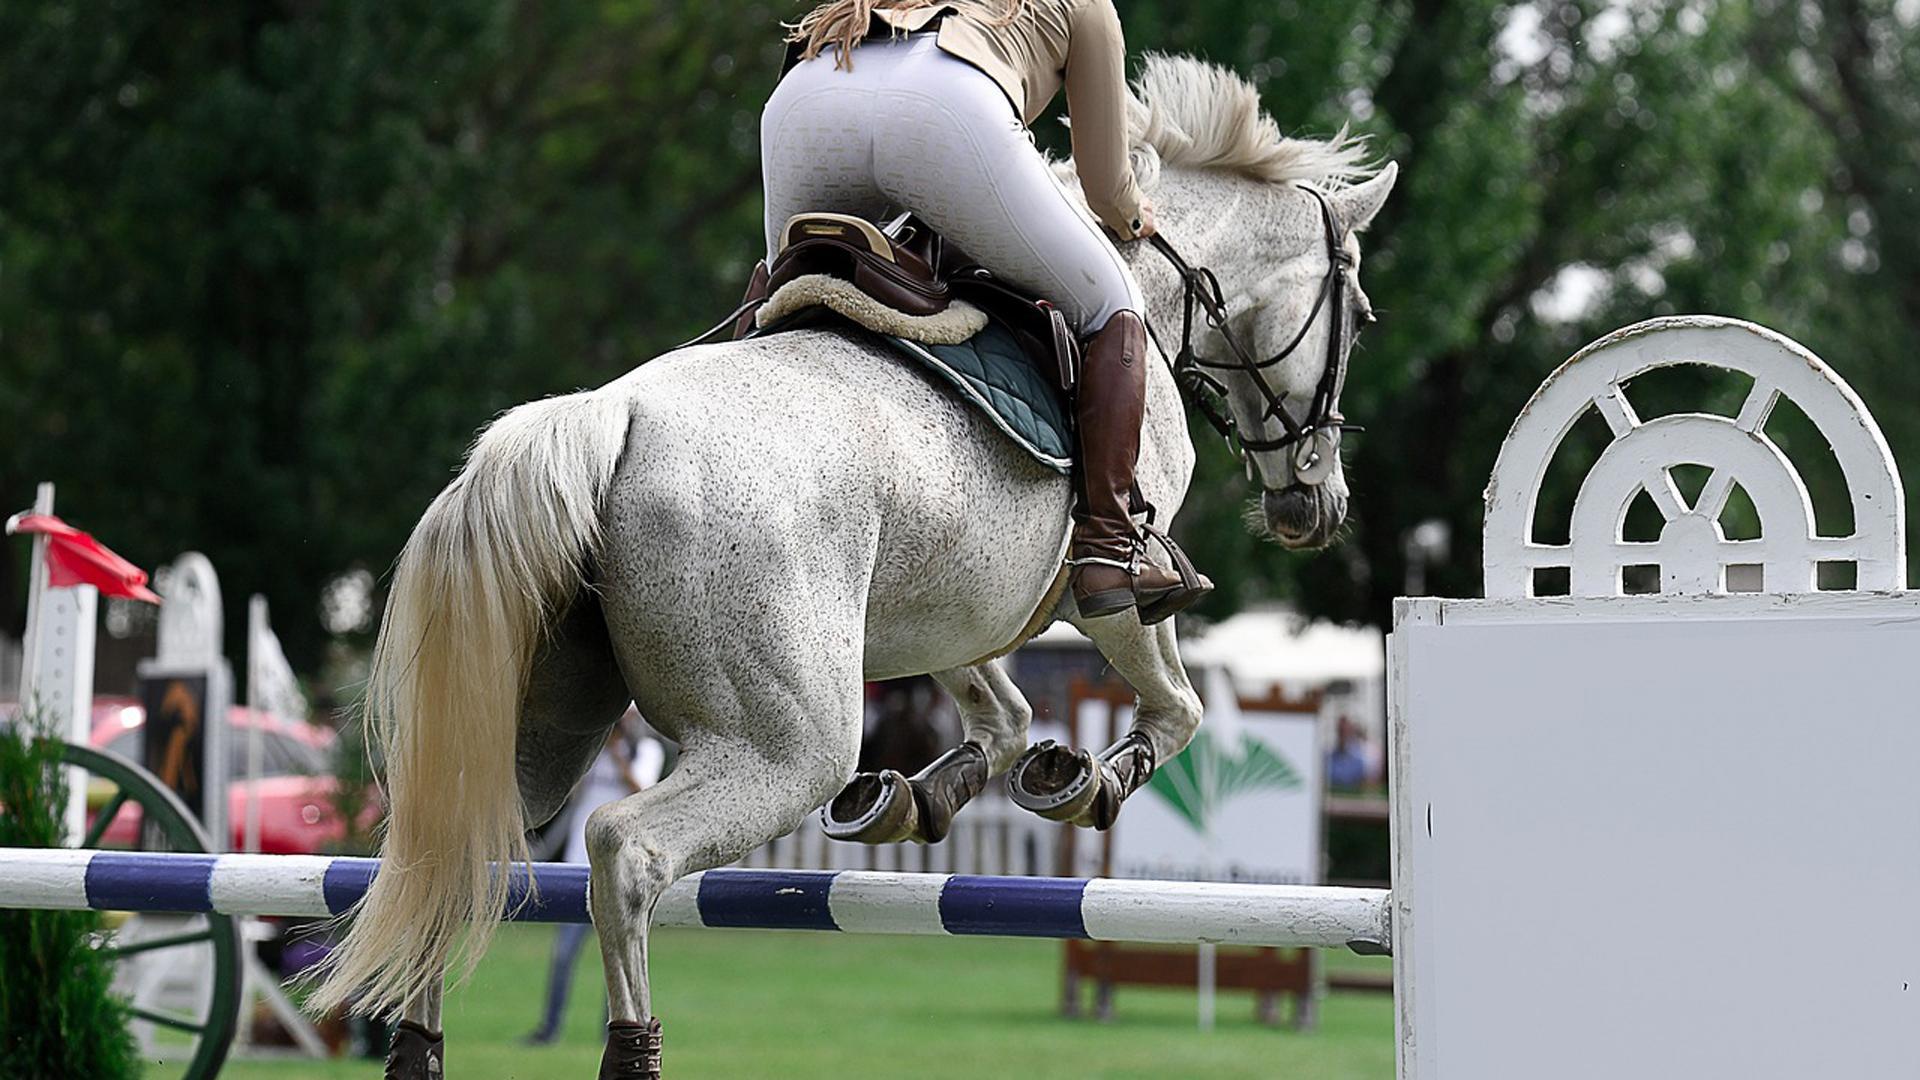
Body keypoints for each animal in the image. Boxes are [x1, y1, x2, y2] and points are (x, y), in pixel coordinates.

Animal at [310, 54, 1397, 1076]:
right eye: (1360, 314)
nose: (1315, 503)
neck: (1153, 286)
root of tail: (608, 418)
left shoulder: (957, 607)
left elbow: (1002, 715)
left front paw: (920, 796)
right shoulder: (1116, 586)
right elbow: (1178, 710)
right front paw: (1084, 782)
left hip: (537, 725)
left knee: (461, 850)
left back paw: (418, 1047)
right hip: (782, 744)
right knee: (626, 850)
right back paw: (632, 1046)